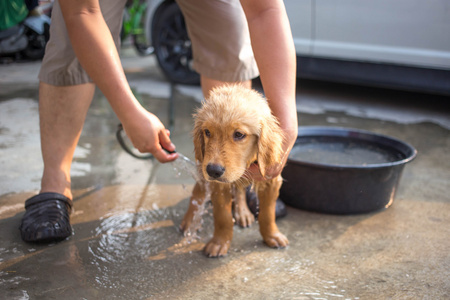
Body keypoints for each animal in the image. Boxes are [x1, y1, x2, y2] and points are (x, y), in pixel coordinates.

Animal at [180, 85, 288, 258]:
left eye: (239, 134)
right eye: (207, 132)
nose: (213, 170)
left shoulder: (271, 178)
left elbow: (268, 213)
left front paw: (272, 236)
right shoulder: (217, 184)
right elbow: (222, 217)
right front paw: (219, 243)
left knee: (239, 191)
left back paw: (243, 213)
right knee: (198, 191)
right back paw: (190, 220)